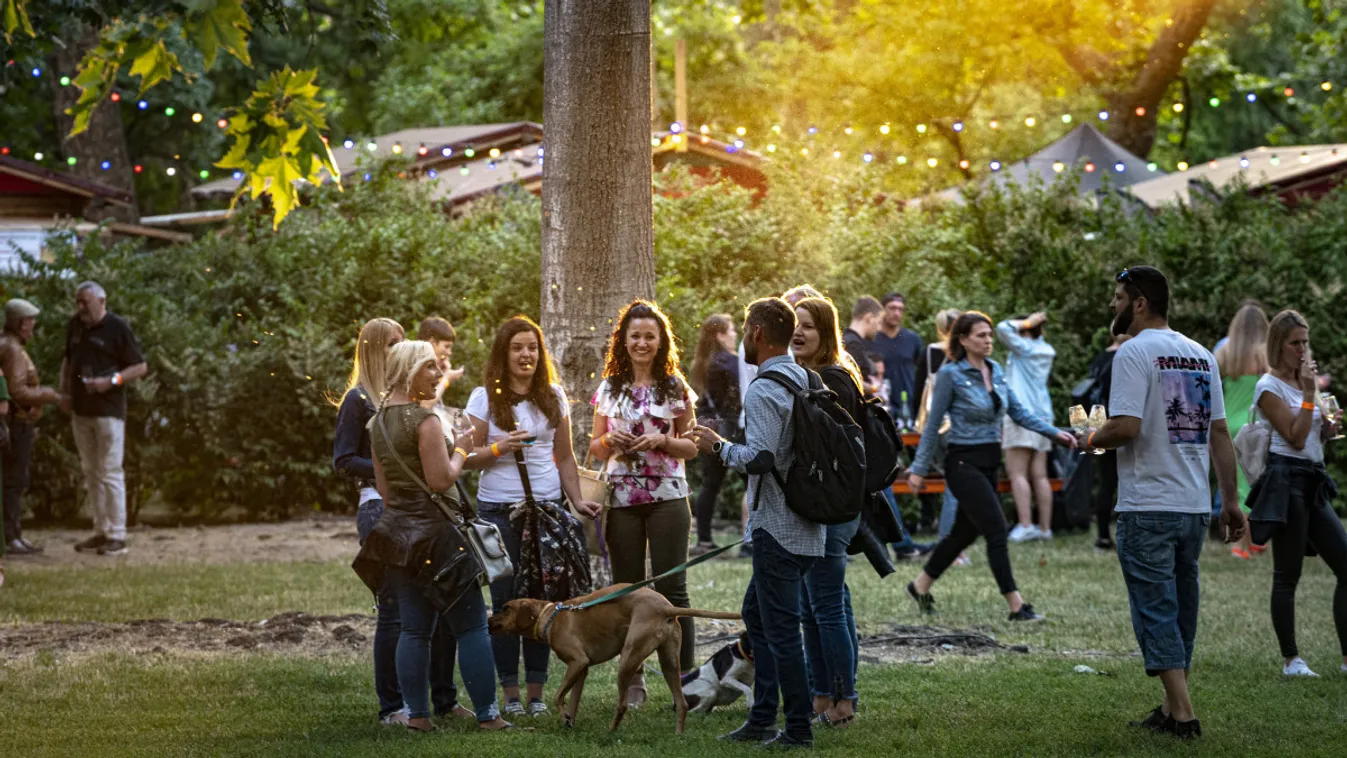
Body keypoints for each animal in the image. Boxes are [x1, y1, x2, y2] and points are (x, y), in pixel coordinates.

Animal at [487, 584, 743, 732]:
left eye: (505, 608)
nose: (488, 619)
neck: (551, 617)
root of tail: (665, 607)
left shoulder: (577, 662)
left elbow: (559, 696)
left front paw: (564, 717)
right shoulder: (581, 669)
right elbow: (574, 700)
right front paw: (569, 722)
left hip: (628, 659)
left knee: (622, 704)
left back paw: (610, 731)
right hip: (669, 662)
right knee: (681, 703)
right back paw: (678, 735)